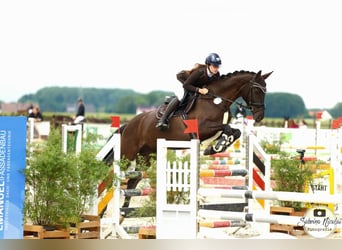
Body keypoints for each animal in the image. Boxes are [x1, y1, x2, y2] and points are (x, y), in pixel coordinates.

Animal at [107, 70, 272, 213]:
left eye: (265, 91)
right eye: (257, 91)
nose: (259, 116)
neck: (216, 101)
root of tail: (129, 124)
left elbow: (234, 131)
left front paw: (215, 147)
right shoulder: (202, 128)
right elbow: (226, 128)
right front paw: (216, 146)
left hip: (146, 156)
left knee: (133, 181)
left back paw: (124, 210)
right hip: (127, 153)